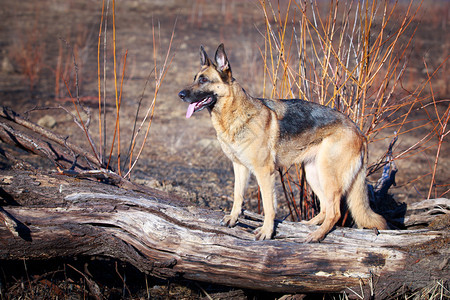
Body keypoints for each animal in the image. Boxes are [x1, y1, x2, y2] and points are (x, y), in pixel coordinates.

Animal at [178, 44, 386, 241]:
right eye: (195, 78)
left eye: (203, 80)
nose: (180, 94)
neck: (234, 114)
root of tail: (360, 132)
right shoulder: (239, 167)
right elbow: (238, 195)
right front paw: (234, 218)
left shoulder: (264, 173)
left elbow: (269, 206)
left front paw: (267, 232)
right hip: (313, 173)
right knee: (326, 208)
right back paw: (309, 225)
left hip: (327, 175)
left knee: (335, 211)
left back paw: (317, 235)